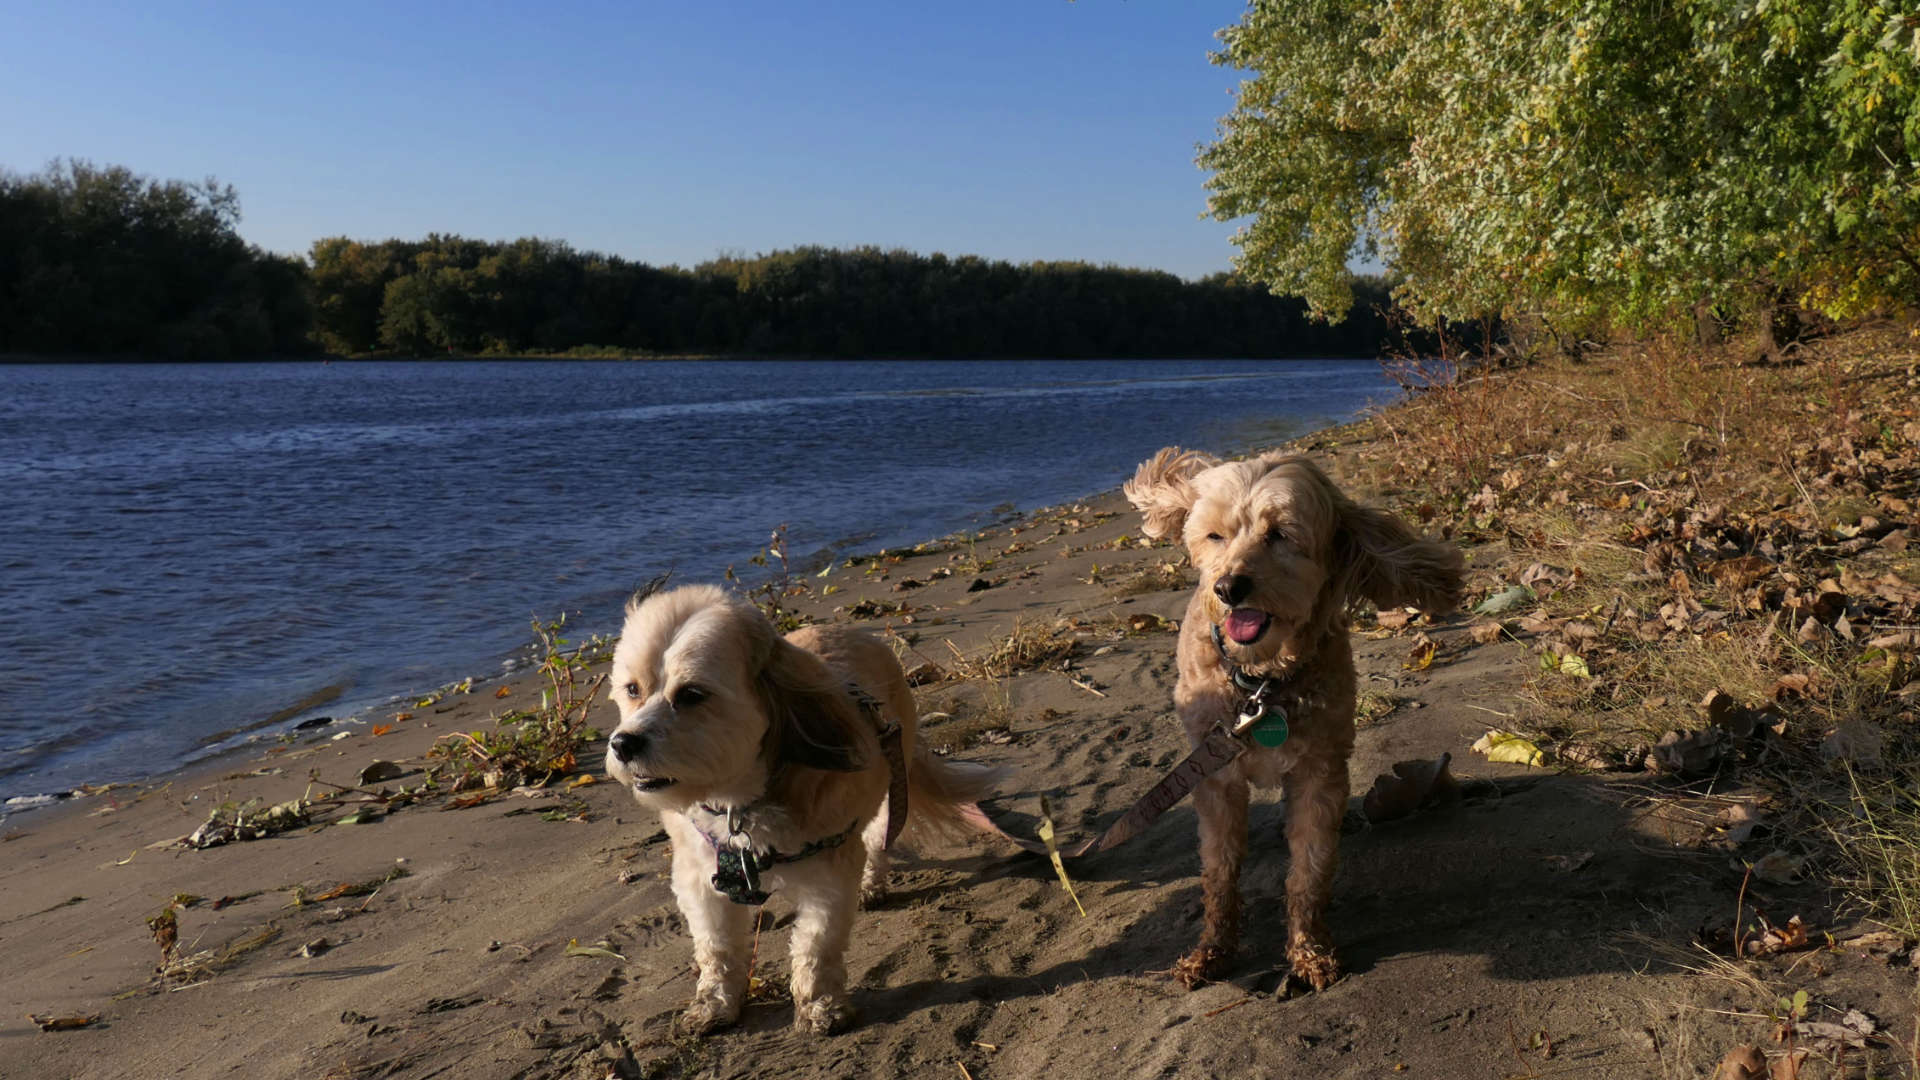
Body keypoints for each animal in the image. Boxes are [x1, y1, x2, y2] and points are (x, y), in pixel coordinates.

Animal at [606, 584, 1006, 1030]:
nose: (623, 743)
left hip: (891, 781)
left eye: (691, 695)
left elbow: (816, 945)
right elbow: (717, 948)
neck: (740, 802)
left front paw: (819, 1004)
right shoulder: (701, 878)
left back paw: (872, 882)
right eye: (632, 689)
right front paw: (715, 1001)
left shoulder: (828, 877)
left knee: (878, 840)